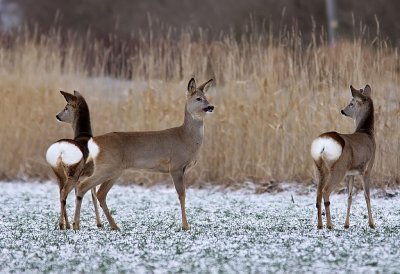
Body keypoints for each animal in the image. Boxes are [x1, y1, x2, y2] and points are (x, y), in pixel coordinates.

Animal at [45, 91, 102, 230]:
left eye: (66, 107)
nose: (57, 116)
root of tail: (61, 150)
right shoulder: (90, 173)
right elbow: (92, 196)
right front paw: (98, 224)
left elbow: (79, 196)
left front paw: (75, 223)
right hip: (73, 171)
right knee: (64, 192)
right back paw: (63, 224)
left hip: (59, 173)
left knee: (61, 194)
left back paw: (65, 224)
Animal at [72, 78, 216, 230]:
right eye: (198, 98)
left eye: (207, 97)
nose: (211, 107)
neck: (186, 138)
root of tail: (94, 142)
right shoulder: (175, 166)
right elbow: (181, 195)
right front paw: (185, 226)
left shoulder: (183, 169)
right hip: (107, 167)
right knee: (83, 186)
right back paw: (76, 225)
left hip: (115, 170)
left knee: (100, 193)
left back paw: (114, 226)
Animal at [310, 84, 374, 229]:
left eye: (351, 103)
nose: (342, 111)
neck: (368, 133)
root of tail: (323, 143)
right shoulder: (367, 168)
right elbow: (367, 195)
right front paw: (372, 223)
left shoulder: (351, 173)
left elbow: (349, 196)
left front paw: (346, 224)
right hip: (338, 168)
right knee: (325, 191)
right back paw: (330, 225)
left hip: (319, 168)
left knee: (318, 194)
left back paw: (320, 225)